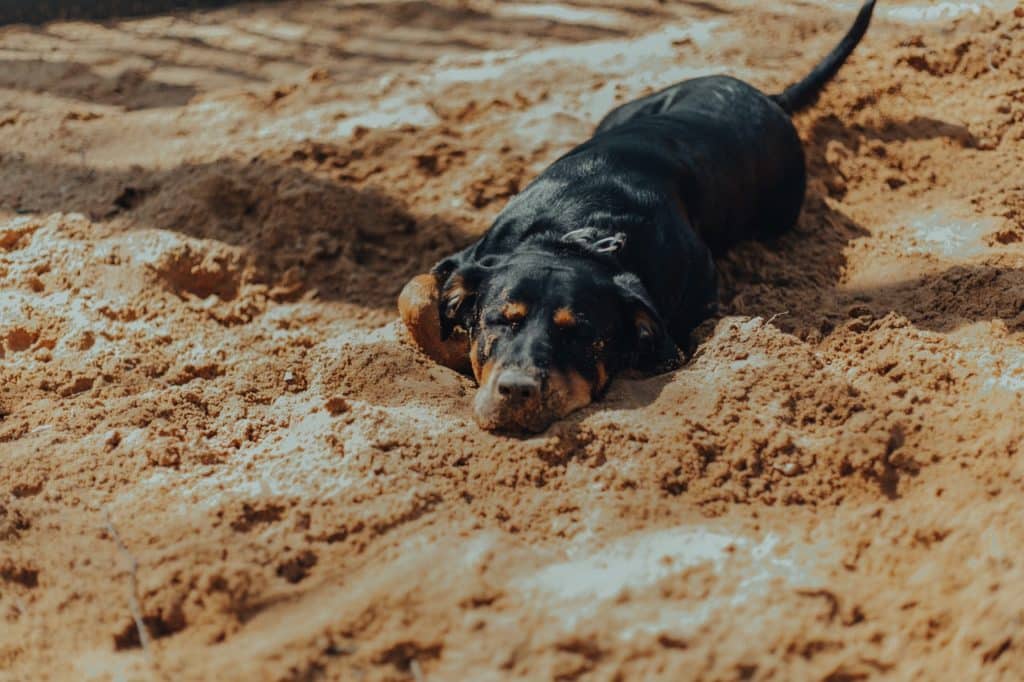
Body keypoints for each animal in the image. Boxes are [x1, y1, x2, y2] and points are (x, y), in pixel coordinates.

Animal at [395, 1, 876, 430]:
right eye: (501, 319)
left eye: (579, 334)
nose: (517, 390)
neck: (576, 232)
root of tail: (768, 96)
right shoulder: (469, 257)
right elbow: (413, 295)